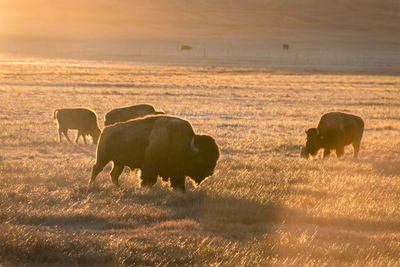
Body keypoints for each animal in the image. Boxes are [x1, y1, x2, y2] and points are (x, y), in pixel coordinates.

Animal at [88, 115, 220, 193]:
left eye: (215, 158)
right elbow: (147, 178)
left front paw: (180, 191)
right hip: (103, 158)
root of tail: (105, 130)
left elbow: (177, 181)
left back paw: (119, 188)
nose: (210, 172)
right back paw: (91, 185)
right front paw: (144, 188)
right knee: (96, 169)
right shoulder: (149, 166)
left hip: (119, 163)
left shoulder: (178, 171)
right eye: (201, 158)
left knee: (114, 174)